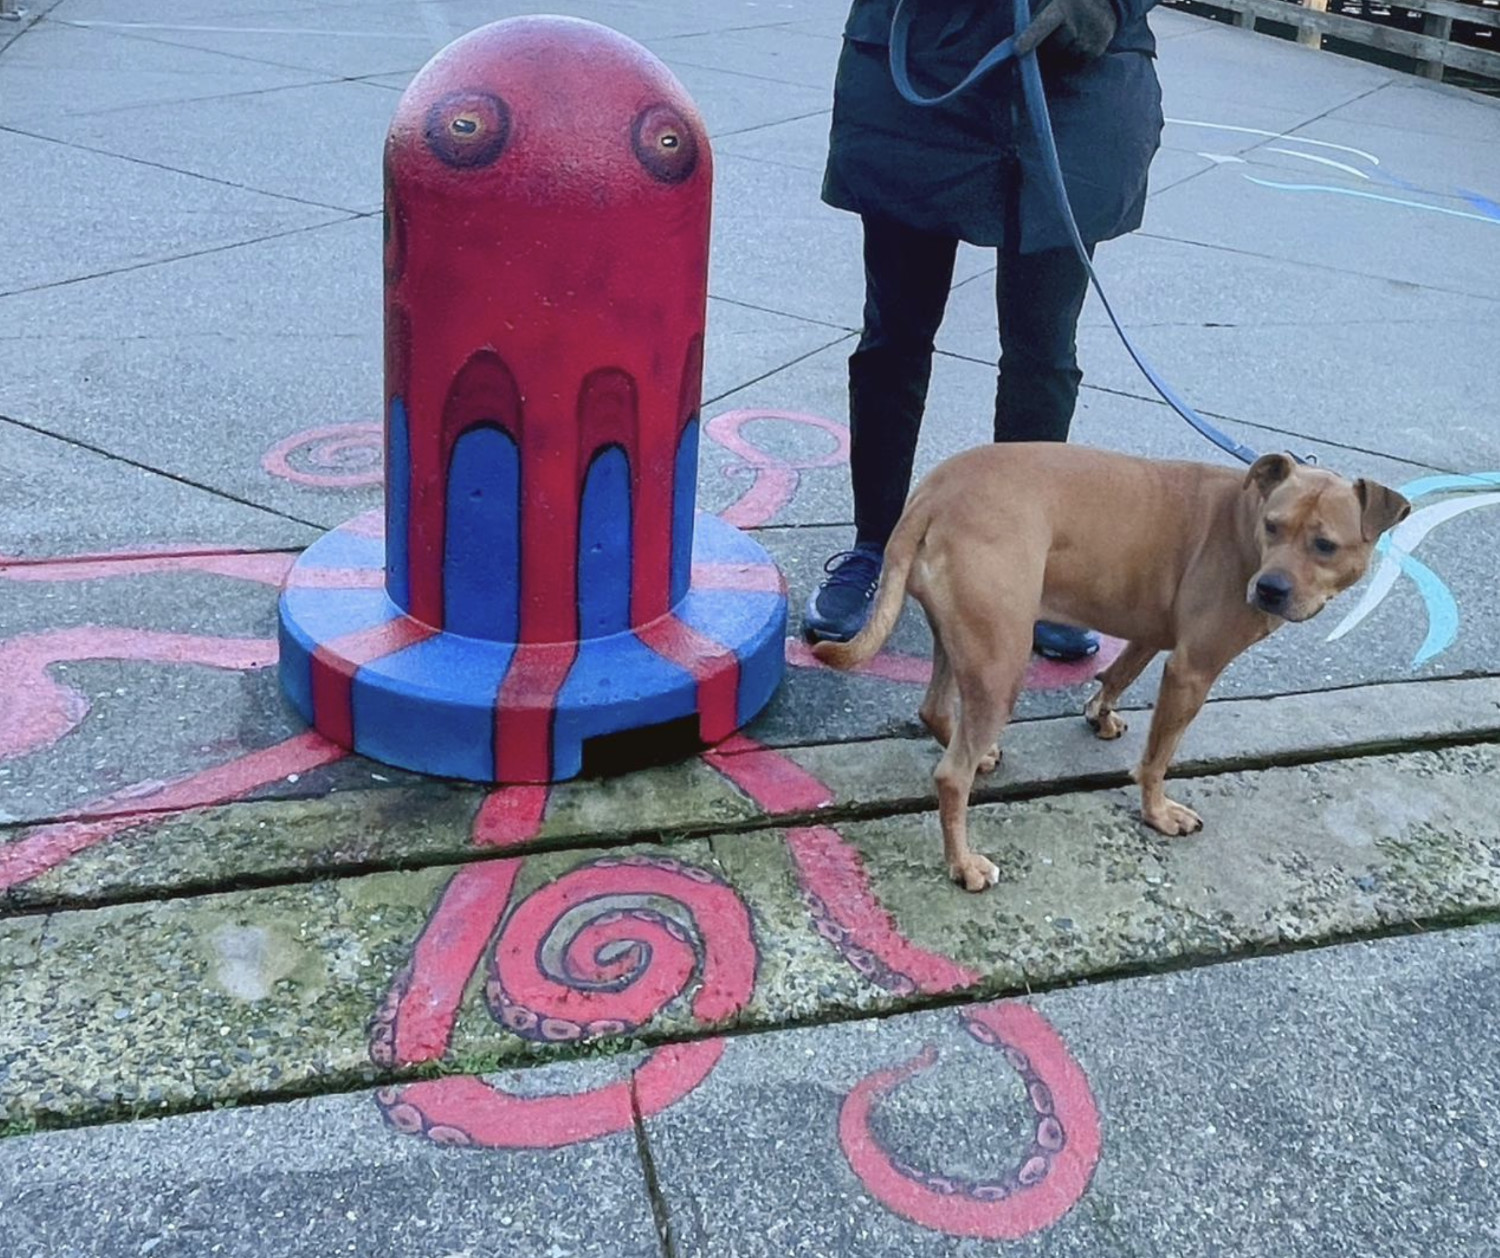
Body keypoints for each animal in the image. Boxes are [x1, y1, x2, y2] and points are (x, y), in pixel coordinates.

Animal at [816, 443, 1410, 893]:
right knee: (950, 776)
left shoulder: (1149, 633)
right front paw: (1157, 812)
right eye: (1273, 527)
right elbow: (1158, 756)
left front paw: (1100, 715)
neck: (1242, 523)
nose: (1269, 589)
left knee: (936, 710)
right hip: (1003, 660)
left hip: (965, 639)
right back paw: (964, 863)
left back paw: (980, 755)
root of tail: (934, 492)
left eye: (1324, 544)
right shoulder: (1192, 670)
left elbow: (1119, 674)